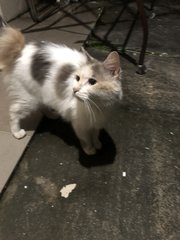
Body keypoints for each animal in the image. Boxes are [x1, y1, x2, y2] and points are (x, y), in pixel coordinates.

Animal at [0, 27, 122, 156]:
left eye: (92, 82)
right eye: (77, 78)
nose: (74, 90)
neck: (98, 105)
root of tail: (21, 50)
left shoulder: (97, 123)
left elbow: (95, 134)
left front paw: (97, 143)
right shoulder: (80, 124)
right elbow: (85, 139)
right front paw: (89, 149)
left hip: (41, 93)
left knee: (42, 105)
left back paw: (51, 114)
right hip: (28, 98)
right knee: (14, 111)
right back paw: (17, 132)